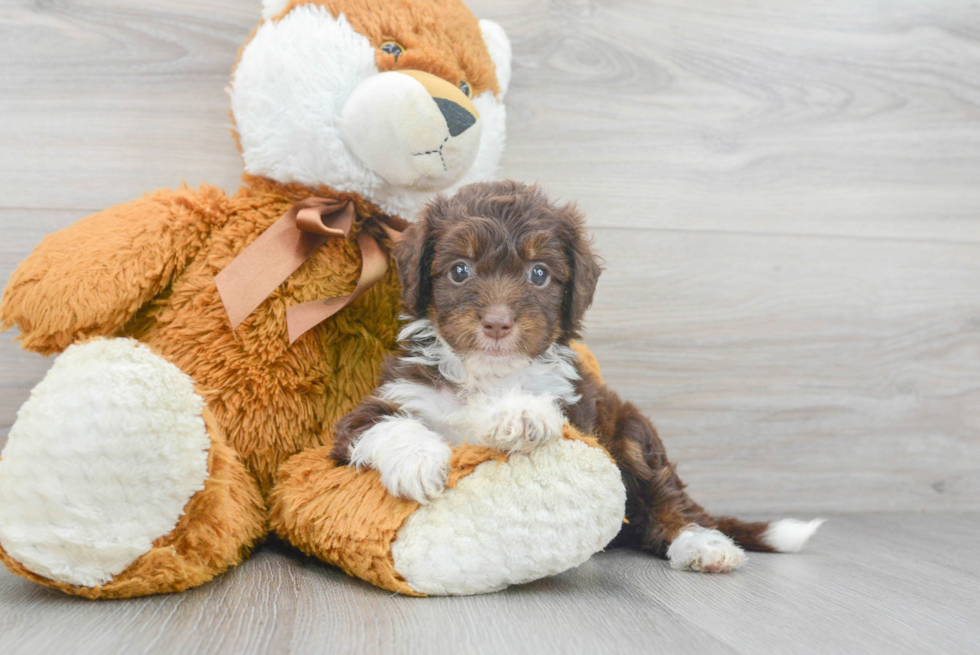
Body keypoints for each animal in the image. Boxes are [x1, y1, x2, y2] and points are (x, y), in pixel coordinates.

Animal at [334, 179, 824, 576]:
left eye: (539, 274)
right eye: (459, 270)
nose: (497, 323)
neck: (487, 375)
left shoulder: (578, 412)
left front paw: (519, 416)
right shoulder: (380, 405)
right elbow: (386, 424)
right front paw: (419, 461)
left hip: (630, 431)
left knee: (668, 501)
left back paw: (703, 544)